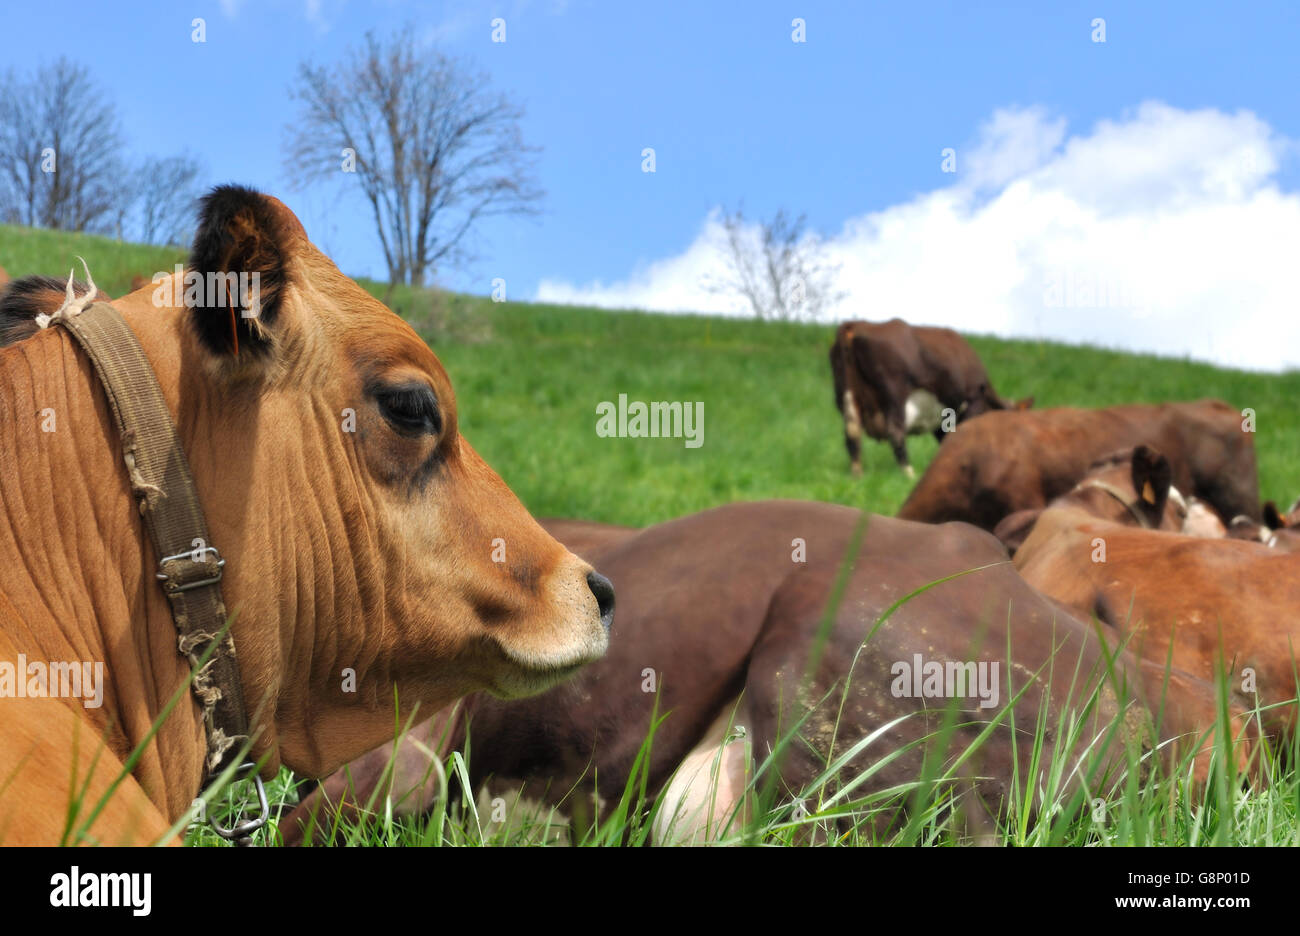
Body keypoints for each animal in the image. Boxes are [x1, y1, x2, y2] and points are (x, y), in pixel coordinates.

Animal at [830, 319, 1031, 477]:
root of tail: (855, 325)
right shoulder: (971, 403)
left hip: (846, 394)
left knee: (852, 433)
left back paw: (857, 474)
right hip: (894, 395)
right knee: (895, 432)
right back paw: (909, 474)